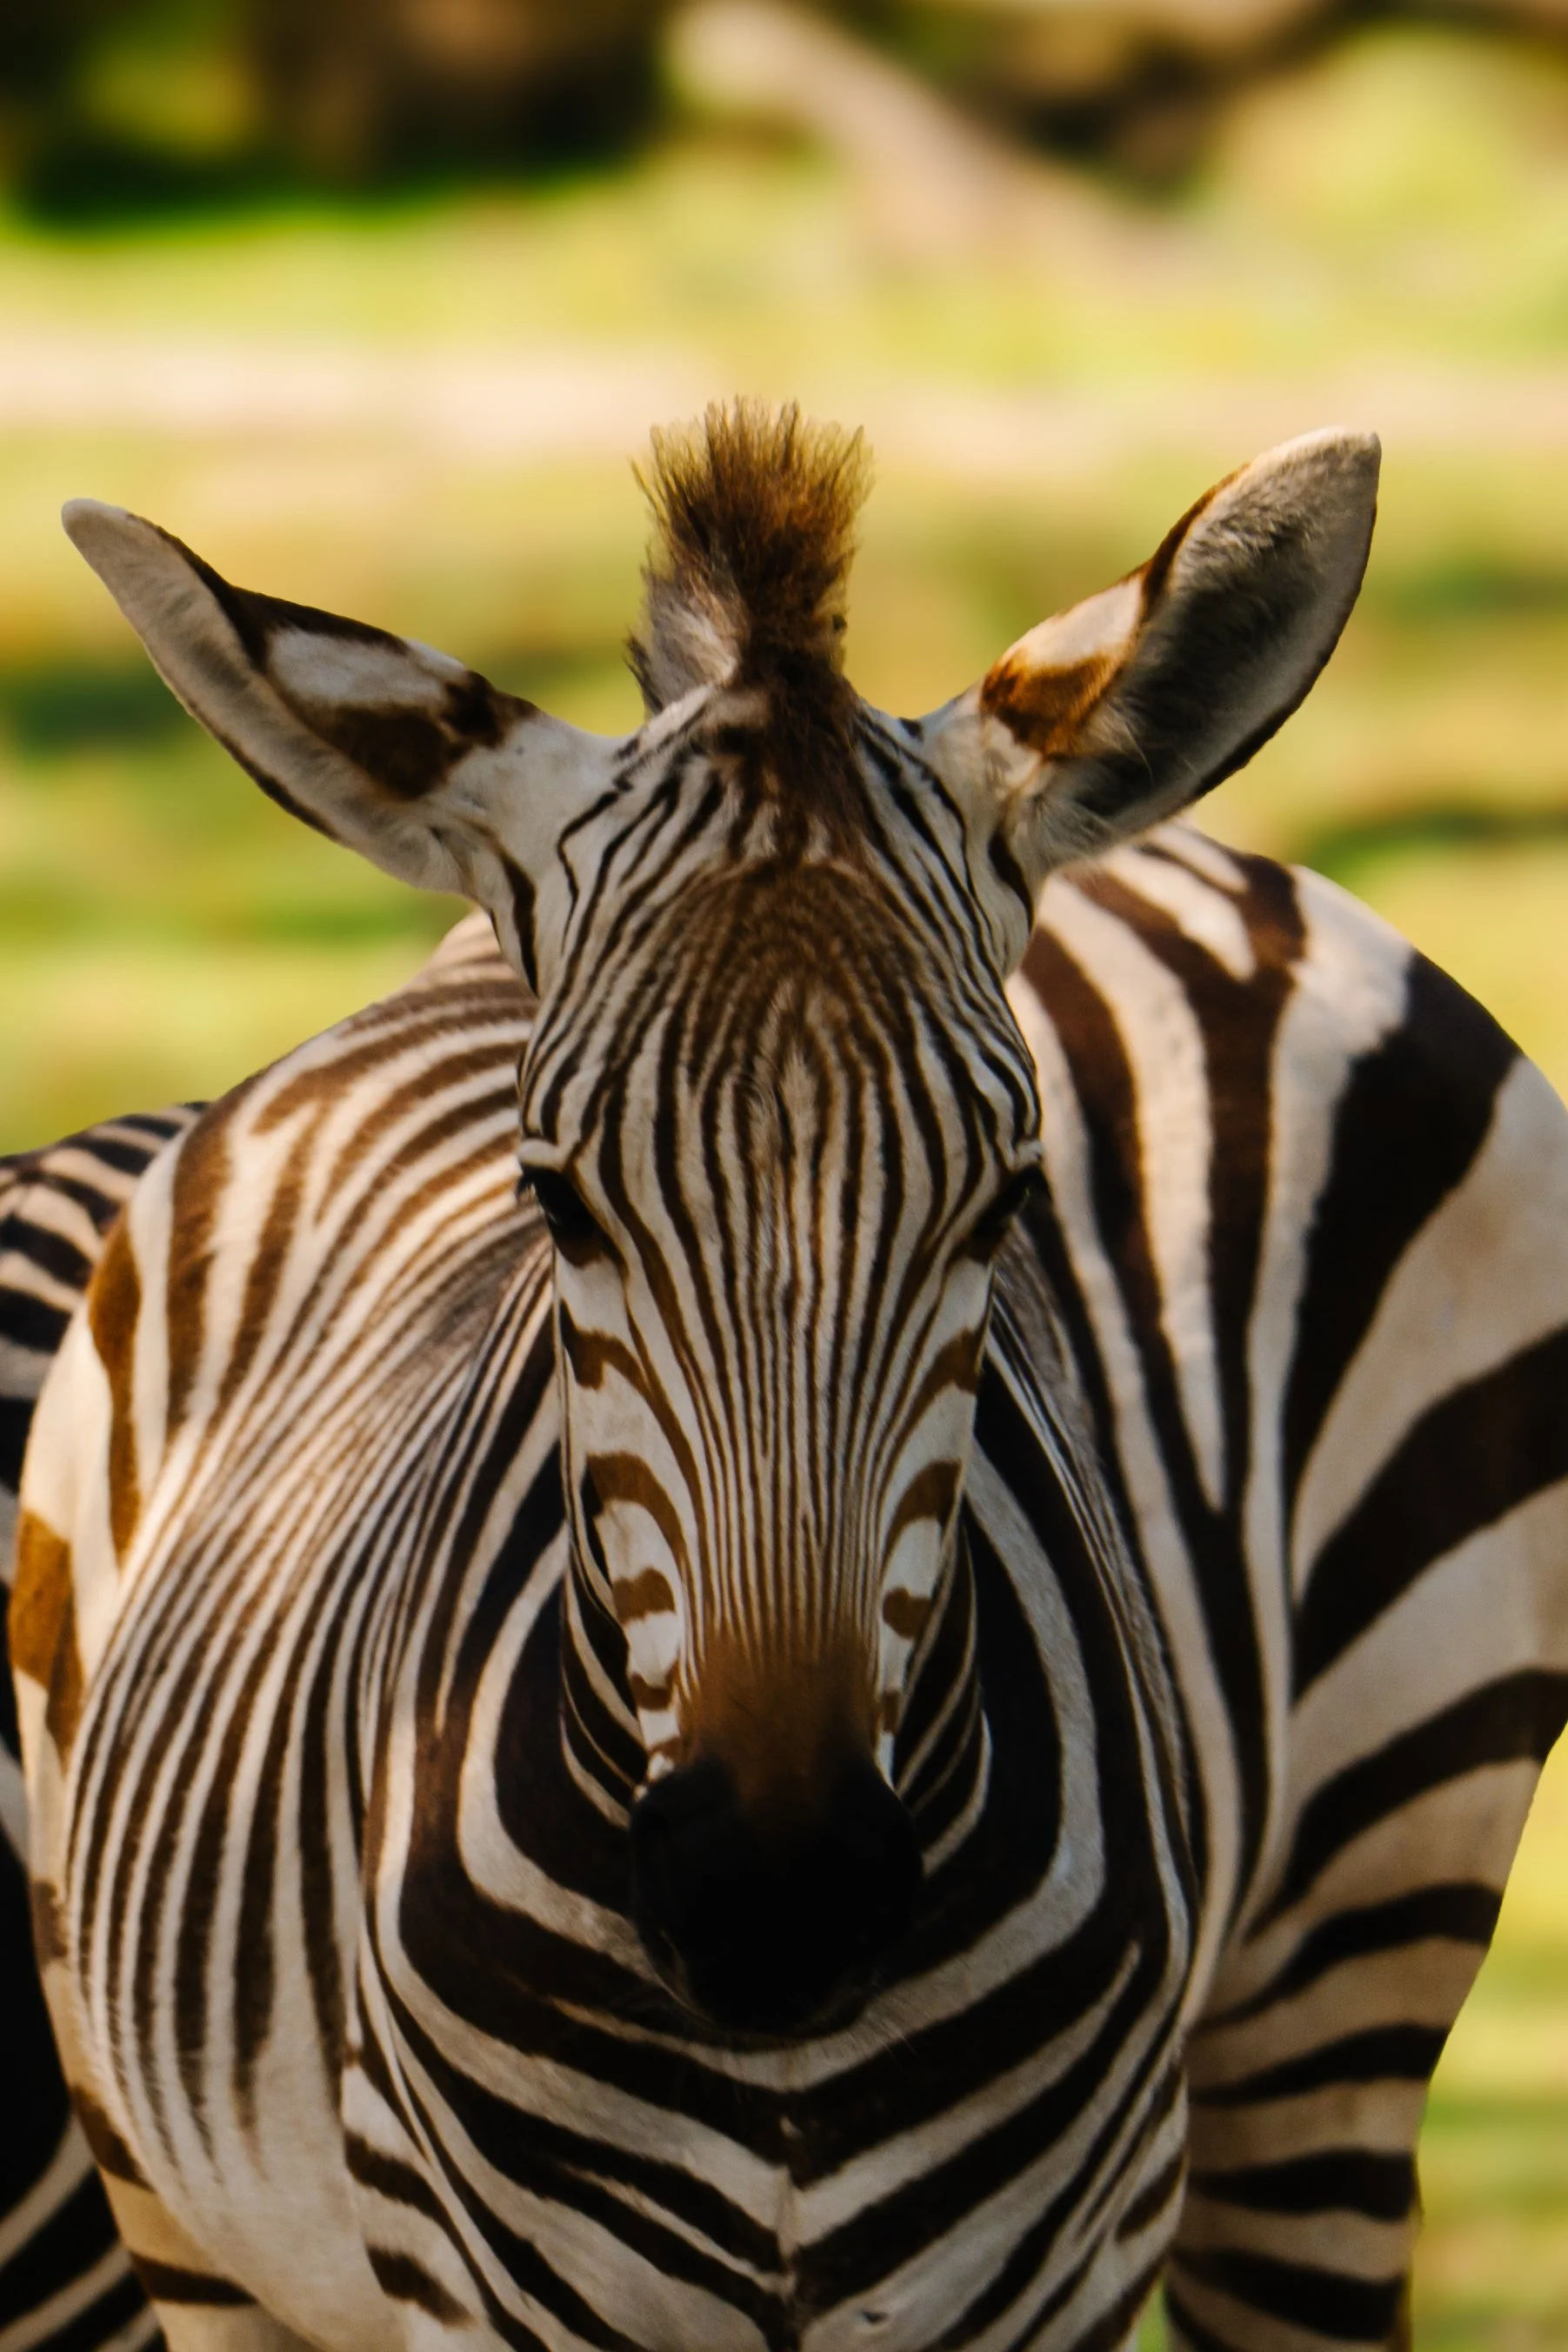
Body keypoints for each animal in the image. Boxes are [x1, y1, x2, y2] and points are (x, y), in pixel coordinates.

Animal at [8, 400, 1568, 2352]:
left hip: (1350, 1971)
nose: (783, 1906)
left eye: (1007, 1194)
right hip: (181, 2214)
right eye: (552, 1195)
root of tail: (1196, 866)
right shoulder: (474, 2283)